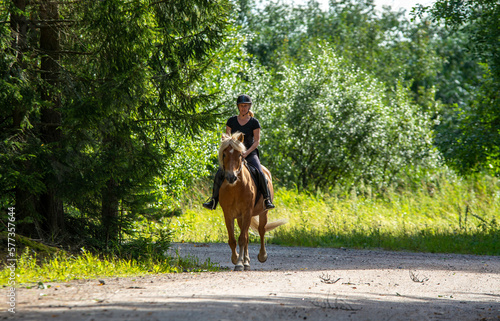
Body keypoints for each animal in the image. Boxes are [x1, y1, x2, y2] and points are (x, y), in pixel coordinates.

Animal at [218, 131, 286, 270]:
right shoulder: (228, 214)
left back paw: (261, 256)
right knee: (247, 236)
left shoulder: (247, 212)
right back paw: (246, 261)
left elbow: (242, 239)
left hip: (263, 213)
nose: (231, 177)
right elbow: (233, 240)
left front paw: (239, 263)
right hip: (240, 217)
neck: (235, 188)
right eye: (224, 154)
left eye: (239, 154)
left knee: (261, 230)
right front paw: (236, 259)